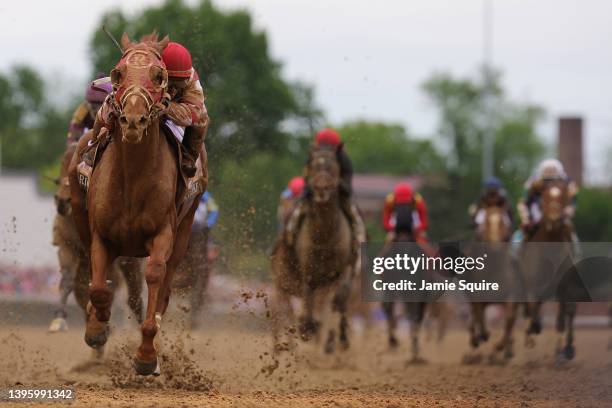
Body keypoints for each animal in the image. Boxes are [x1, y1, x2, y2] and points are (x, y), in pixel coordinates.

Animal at [66, 33, 206, 378]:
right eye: (118, 73)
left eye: (159, 76)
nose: (132, 120)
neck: (132, 180)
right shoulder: (101, 234)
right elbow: (99, 285)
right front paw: (97, 326)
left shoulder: (164, 232)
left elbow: (155, 276)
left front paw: (146, 356)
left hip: (186, 230)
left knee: (165, 286)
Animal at [272, 147, 356, 354]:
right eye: (312, 166)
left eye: (334, 168)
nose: (321, 188)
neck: (324, 239)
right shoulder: (307, 272)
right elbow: (307, 301)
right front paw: (305, 329)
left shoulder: (337, 276)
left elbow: (330, 303)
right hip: (282, 283)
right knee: (284, 310)